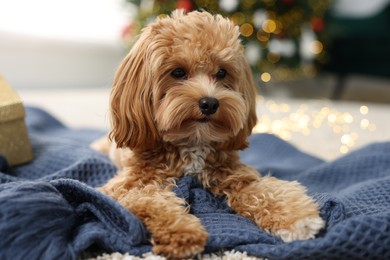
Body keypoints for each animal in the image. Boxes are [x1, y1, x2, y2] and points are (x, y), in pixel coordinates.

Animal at [95, 9, 326, 258]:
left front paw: (296, 218)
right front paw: (181, 231)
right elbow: (150, 201)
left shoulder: (236, 175)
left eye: (222, 73)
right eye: (178, 72)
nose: (210, 103)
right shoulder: (124, 187)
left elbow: (265, 190)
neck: (192, 142)